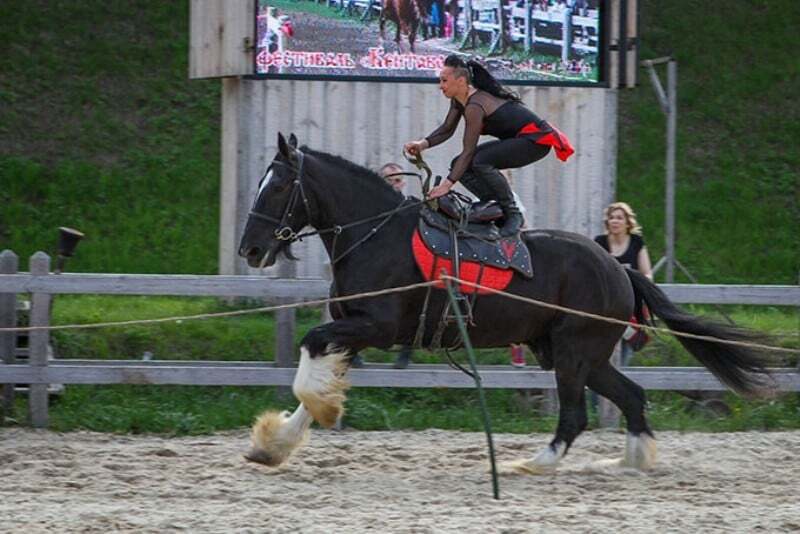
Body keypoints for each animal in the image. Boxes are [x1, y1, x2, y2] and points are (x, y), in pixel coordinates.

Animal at [239, 133, 776, 474]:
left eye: (280, 185)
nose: (250, 249)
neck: (376, 235)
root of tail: (618, 267)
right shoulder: (352, 328)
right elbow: (313, 379)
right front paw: (275, 445)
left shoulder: (375, 327)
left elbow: (309, 358)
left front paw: (306, 422)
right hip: (579, 354)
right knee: (631, 397)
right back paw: (630, 461)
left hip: (574, 352)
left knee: (577, 415)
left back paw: (537, 463)